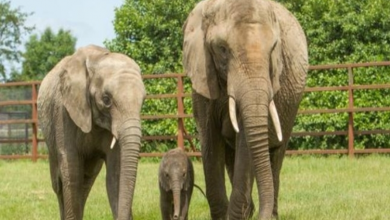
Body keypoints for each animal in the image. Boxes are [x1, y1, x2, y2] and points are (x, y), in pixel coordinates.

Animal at [37, 44, 145, 220]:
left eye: (143, 100)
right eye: (106, 99)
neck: (99, 57)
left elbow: (116, 175)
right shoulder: (63, 112)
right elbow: (71, 171)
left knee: (86, 181)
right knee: (59, 183)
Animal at [183, 0, 308, 219]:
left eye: (273, 49)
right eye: (222, 49)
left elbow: (246, 144)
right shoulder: (203, 76)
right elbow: (210, 141)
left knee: (275, 157)